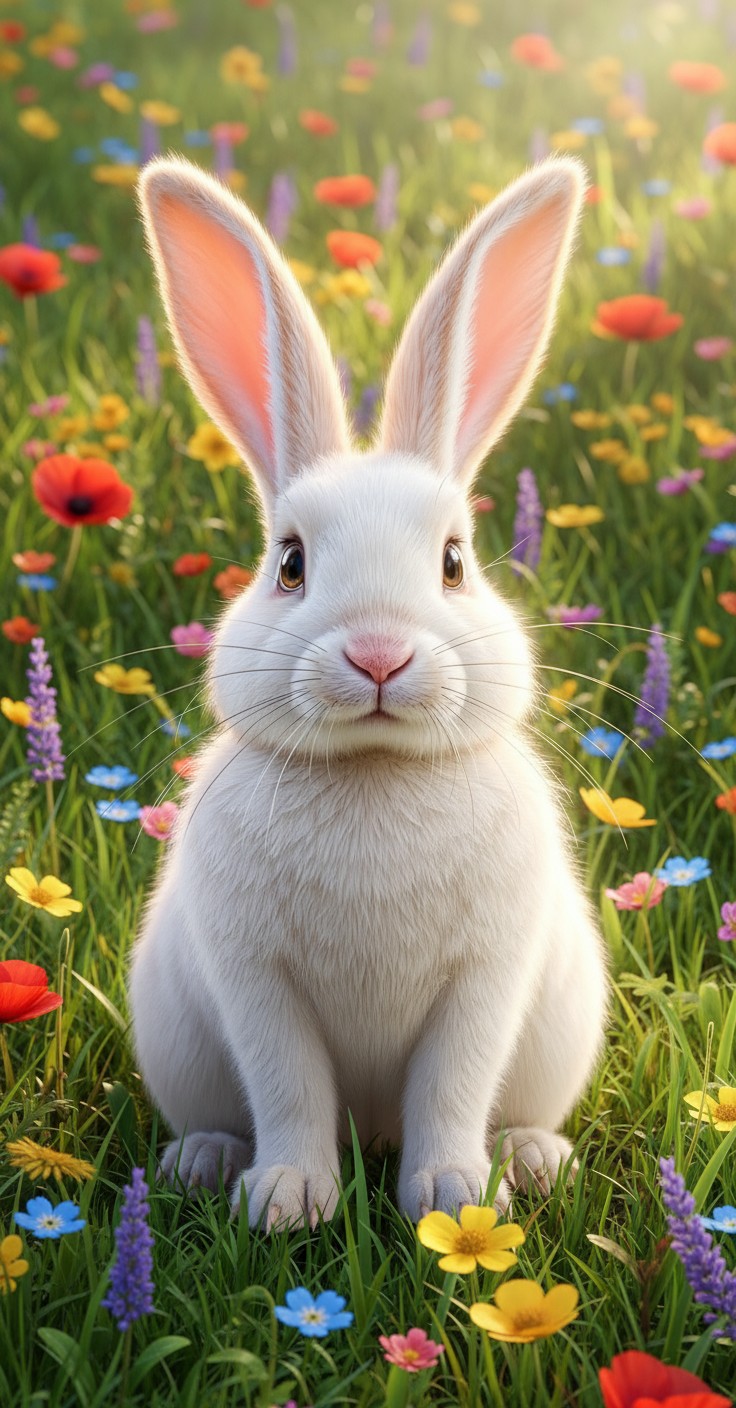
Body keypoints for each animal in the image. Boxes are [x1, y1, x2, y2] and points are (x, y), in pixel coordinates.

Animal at [130, 152, 608, 1231]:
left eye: (455, 562)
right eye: (289, 563)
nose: (380, 655)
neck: (378, 768)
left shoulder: (485, 981)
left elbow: (452, 1086)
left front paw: (452, 1198)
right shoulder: (257, 983)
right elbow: (289, 1087)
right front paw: (287, 1201)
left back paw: (532, 1160)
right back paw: (205, 1160)